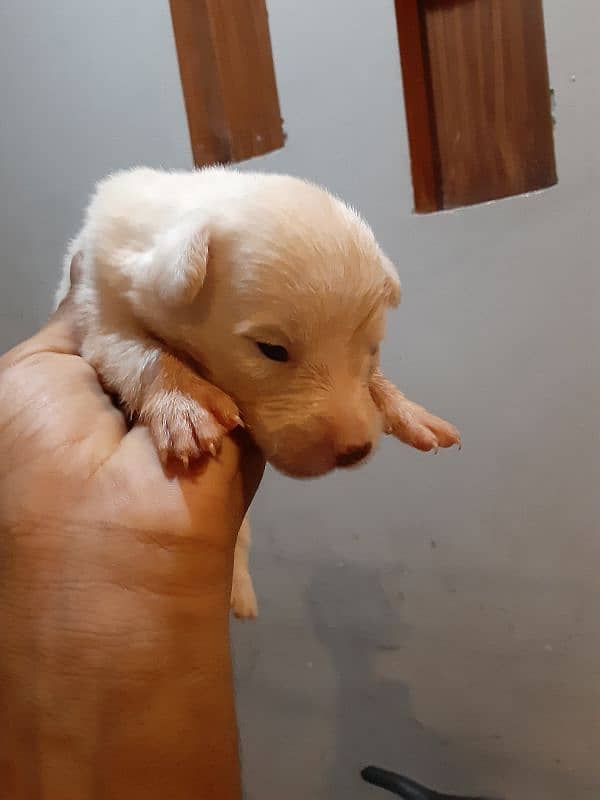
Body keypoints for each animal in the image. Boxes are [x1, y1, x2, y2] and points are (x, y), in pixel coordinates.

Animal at [57, 167, 460, 620]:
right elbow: (140, 353)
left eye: (373, 349)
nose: (355, 450)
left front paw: (408, 410)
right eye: (271, 350)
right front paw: (187, 407)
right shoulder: (100, 309)